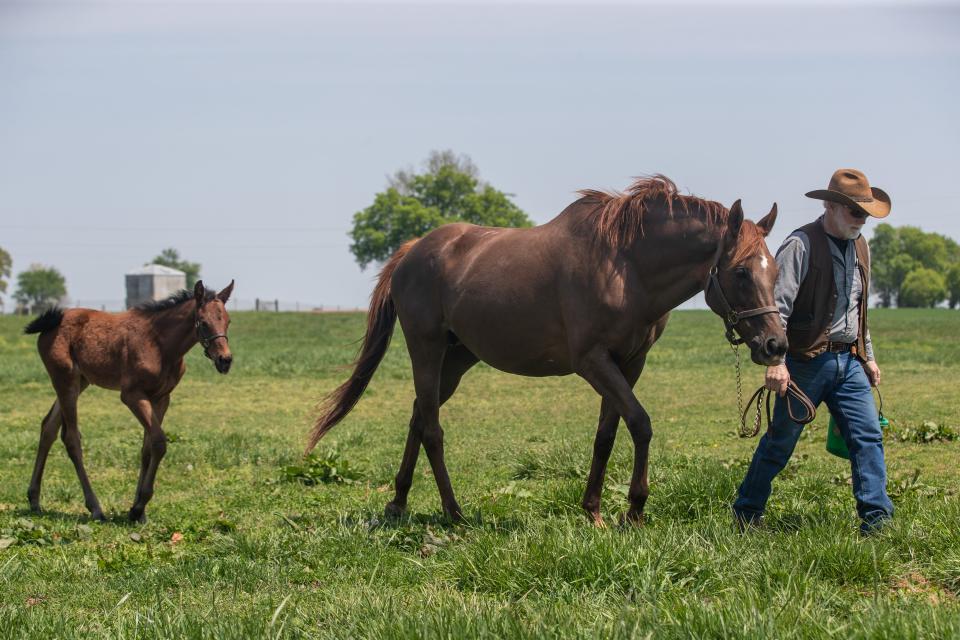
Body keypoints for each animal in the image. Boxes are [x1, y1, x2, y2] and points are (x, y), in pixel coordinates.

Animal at [24, 278, 234, 520]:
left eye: (227, 321)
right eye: (203, 322)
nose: (225, 360)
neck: (160, 345)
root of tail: (51, 323)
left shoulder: (161, 398)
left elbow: (147, 448)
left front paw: (137, 511)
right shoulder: (132, 395)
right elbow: (159, 442)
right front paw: (139, 506)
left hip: (79, 382)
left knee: (48, 427)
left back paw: (34, 500)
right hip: (65, 381)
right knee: (71, 438)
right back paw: (95, 508)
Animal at [312, 176, 784, 524]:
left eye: (775, 270)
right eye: (741, 272)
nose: (775, 344)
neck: (624, 265)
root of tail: (413, 250)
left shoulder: (629, 364)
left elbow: (607, 434)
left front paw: (594, 511)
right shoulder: (593, 362)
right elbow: (640, 424)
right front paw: (634, 510)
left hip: (458, 359)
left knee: (417, 416)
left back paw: (398, 503)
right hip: (426, 350)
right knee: (432, 429)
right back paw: (454, 513)